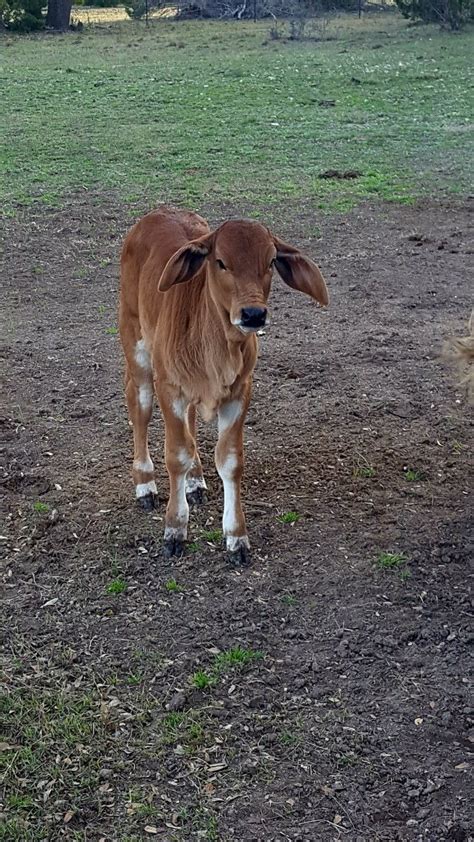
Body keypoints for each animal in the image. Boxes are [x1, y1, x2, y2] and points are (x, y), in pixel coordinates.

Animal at [118, 207, 330, 564]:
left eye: (271, 261)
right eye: (220, 261)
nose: (253, 314)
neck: (216, 346)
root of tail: (156, 213)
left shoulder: (239, 392)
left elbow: (230, 461)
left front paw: (236, 536)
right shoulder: (169, 387)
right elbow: (176, 454)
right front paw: (175, 529)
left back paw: (195, 481)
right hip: (136, 347)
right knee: (140, 409)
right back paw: (145, 485)